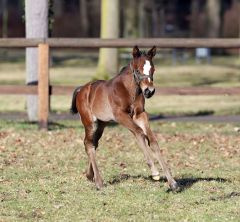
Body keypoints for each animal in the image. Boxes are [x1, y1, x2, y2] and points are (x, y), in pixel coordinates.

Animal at [70, 45, 179, 191]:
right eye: (137, 70)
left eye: (153, 69)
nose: (149, 91)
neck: (129, 90)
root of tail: (82, 89)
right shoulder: (120, 115)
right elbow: (140, 133)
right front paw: (155, 172)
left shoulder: (140, 114)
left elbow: (152, 140)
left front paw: (172, 183)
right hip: (89, 122)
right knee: (88, 143)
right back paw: (99, 181)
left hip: (101, 124)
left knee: (94, 143)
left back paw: (90, 175)